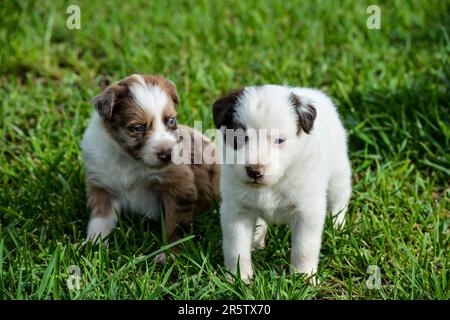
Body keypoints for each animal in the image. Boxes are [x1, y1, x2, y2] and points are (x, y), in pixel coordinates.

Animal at [82, 73, 221, 258]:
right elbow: (100, 219)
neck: (128, 160)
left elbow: (175, 223)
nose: (168, 154)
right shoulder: (102, 185)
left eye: (171, 121)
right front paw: (93, 247)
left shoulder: (178, 185)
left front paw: (170, 254)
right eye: (137, 127)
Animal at [212, 84, 352, 282]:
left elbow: (304, 248)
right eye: (238, 137)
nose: (254, 171)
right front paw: (238, 277)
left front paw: (303, 277)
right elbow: (236, 248)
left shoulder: (307, 212)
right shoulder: (236, 211)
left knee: (339, 201)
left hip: (339, 172)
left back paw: (338, 227)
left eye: (279, 140)